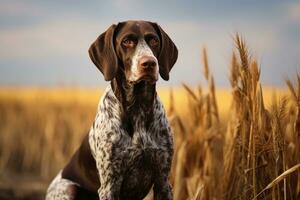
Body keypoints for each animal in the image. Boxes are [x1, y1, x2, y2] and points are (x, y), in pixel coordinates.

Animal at [44, 19, 178, 200]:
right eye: (127, 41)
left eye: (154, 40)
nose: (149, 63)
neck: (138, 107)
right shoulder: (109, 186)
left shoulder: (163, 181)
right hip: (68, 188)